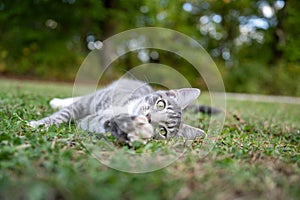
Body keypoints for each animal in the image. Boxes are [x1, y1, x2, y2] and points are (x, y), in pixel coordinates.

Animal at [29, 78, 205, 144]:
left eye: (163, 131)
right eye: (161, 104)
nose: (149, 117)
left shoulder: (91, 119)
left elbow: (98, 121)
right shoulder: (88, 102)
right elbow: (64, 114)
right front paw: (39, 124)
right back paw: (58, 102)